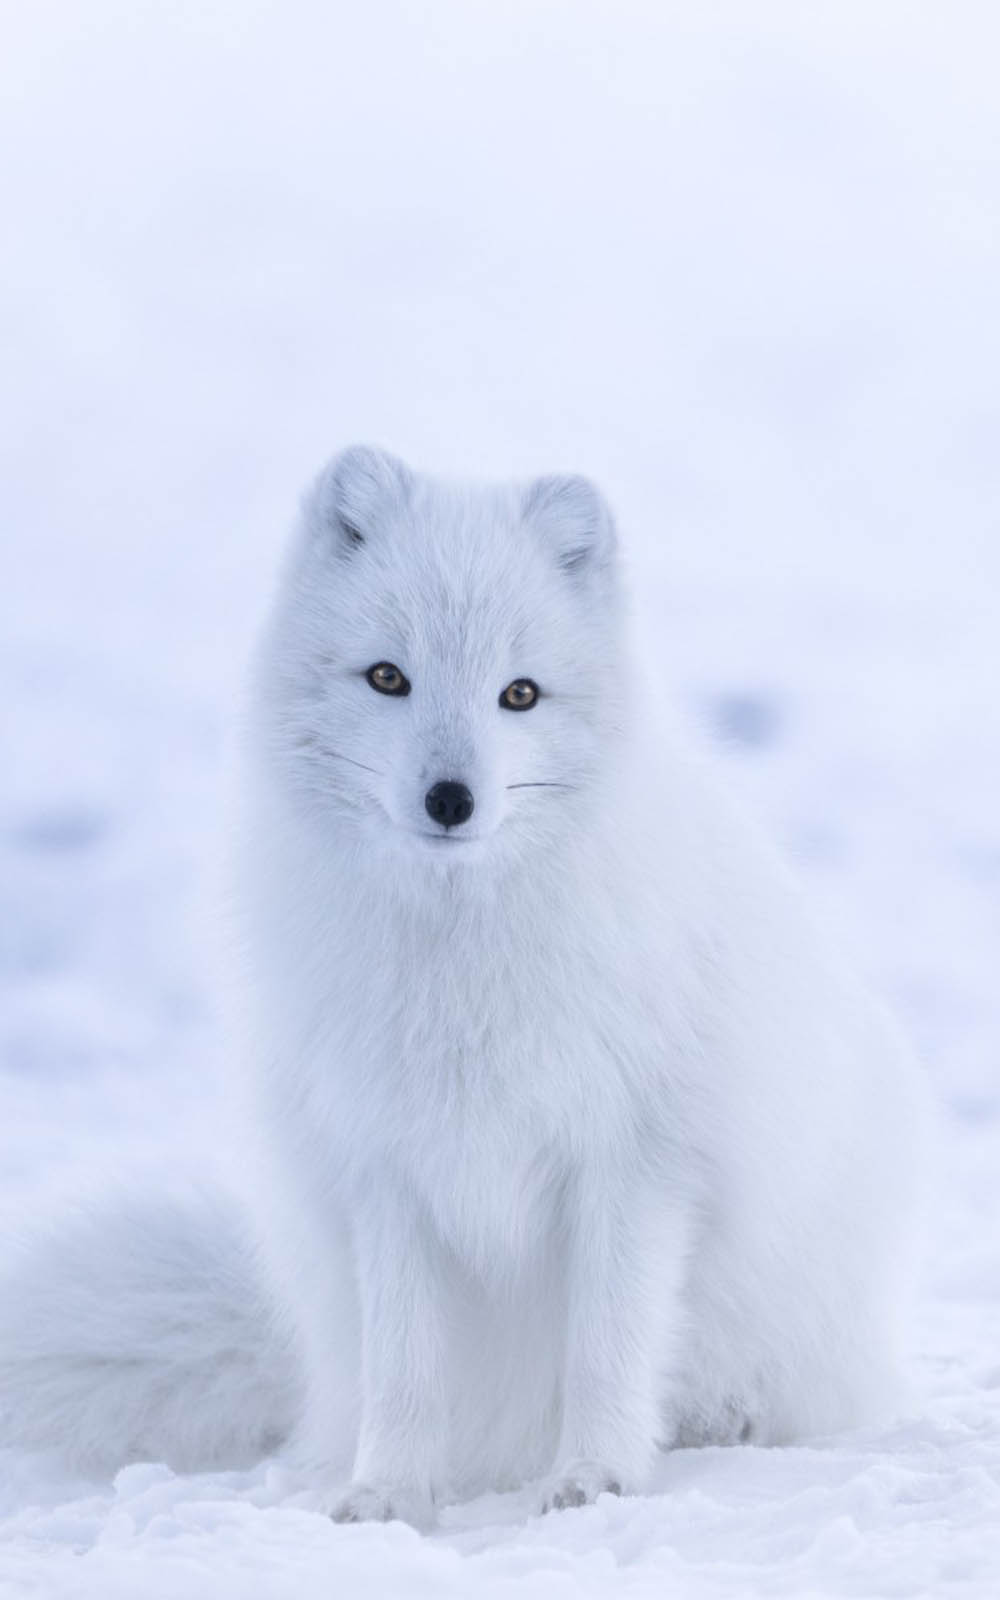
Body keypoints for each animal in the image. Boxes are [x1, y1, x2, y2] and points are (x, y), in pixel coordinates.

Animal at [0, 447, 924, 1526]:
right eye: (387, 677)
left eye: (519, 694)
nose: (451, 799)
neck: (461, 960)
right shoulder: (385, 1167)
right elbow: (405, 1367)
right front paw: (388, 1494)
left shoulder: (635, 1161)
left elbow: (608, 1347)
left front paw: (596, 1478)